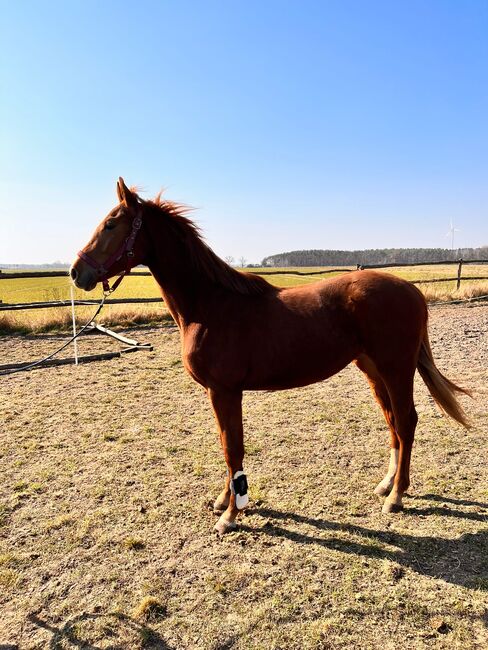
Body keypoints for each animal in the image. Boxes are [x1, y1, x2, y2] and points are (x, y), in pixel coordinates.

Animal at [69, 178, 468, 532]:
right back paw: (386, 485)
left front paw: (230, 516)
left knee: (406, 421)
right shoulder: (219, 393)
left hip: (396, 368)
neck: (210, 305)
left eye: (111, 223)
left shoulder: (225, 390)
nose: (77, 272)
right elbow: (226, 445)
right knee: (392, 423)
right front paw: (223, 501)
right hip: (373, 369)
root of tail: (413, 291)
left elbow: (233, 448)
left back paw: (397, 496)